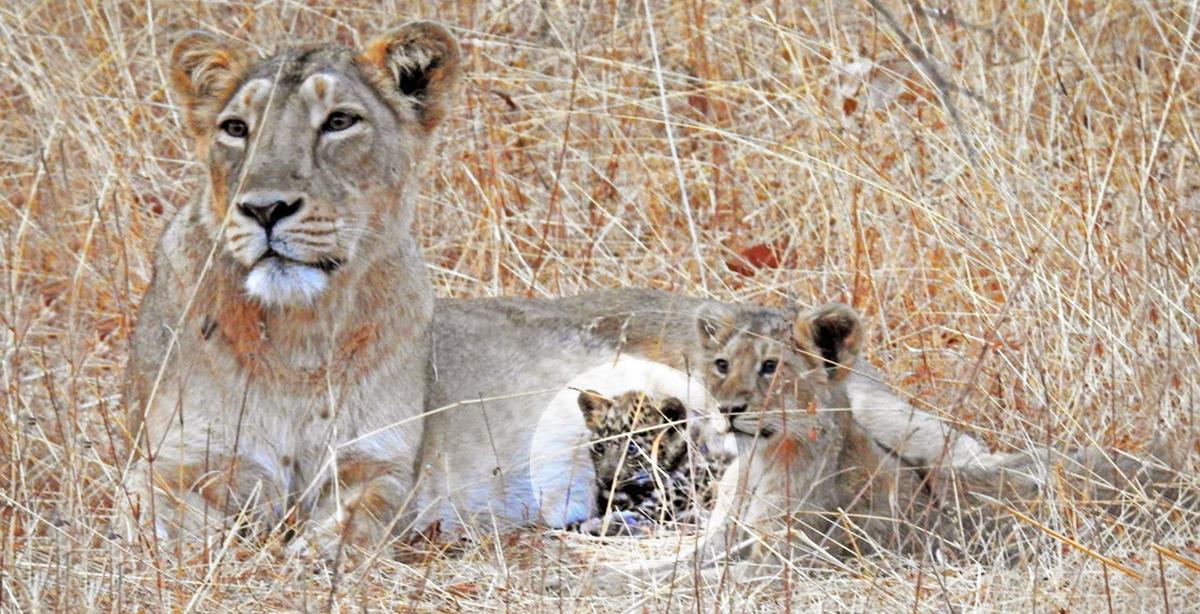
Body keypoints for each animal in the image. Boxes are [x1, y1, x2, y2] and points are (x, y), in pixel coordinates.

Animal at [124, 21, 462, 556]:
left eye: (340, 121)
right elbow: (176, 522)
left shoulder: (380, 462)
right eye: (236, 128)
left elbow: (357, 523)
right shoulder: (172, 459)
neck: (299, 330)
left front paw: (309, 557)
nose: (264, 208)